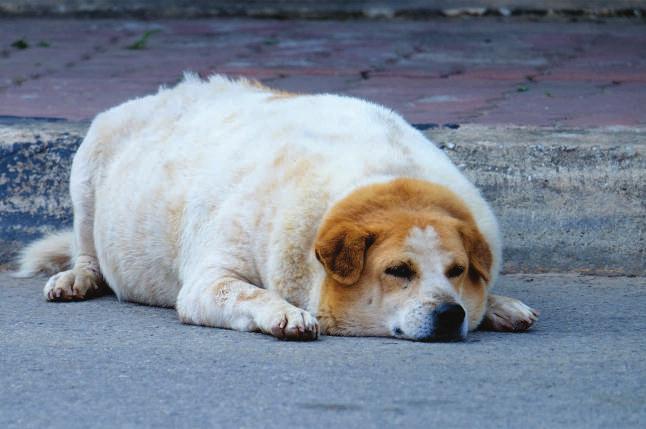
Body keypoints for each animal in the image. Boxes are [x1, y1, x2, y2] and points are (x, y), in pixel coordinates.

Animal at [16, 74, 540, 342]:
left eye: (456, 271)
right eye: (398, 271)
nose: (450, 315)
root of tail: (167, 92)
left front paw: (498, 304)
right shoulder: (209, 280)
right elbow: (247, 293)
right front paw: (286, 314)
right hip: (89, 163)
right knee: (86, 249)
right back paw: (77, 278)